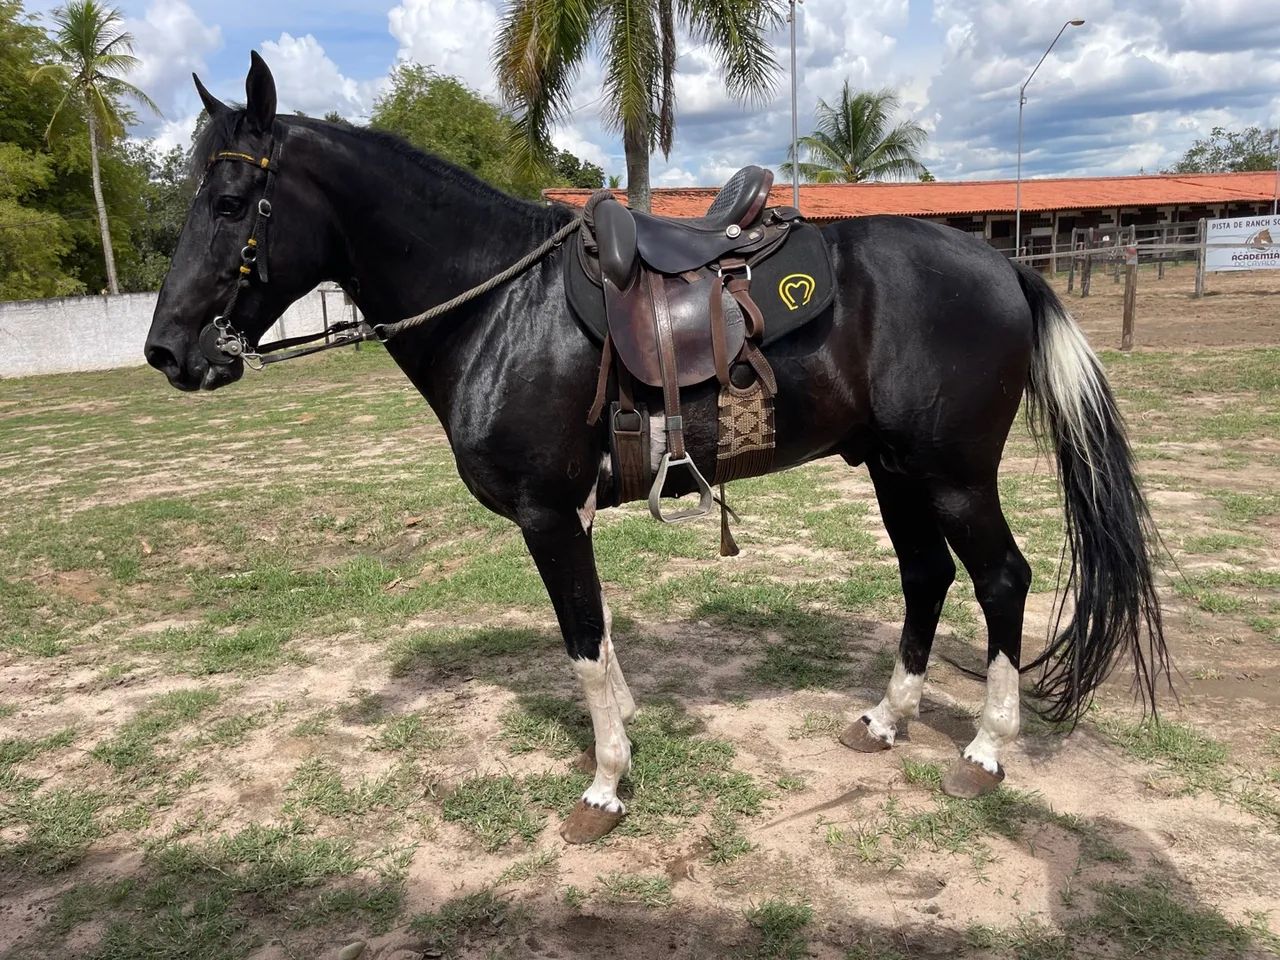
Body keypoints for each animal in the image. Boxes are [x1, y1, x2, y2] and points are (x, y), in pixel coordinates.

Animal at [144, 53, 1167, 844]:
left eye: (231, 202)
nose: (167, 352)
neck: (497, 305)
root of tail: (1001, 263)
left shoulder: (547, 515)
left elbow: (581, 641)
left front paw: (605, 785)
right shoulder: (571, 515)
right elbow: (597, 641)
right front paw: (626, 732)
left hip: (952, 474)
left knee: (1001, 580)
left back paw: (988, 751)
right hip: (894, 471)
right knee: (927, 576)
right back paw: (885, 721)